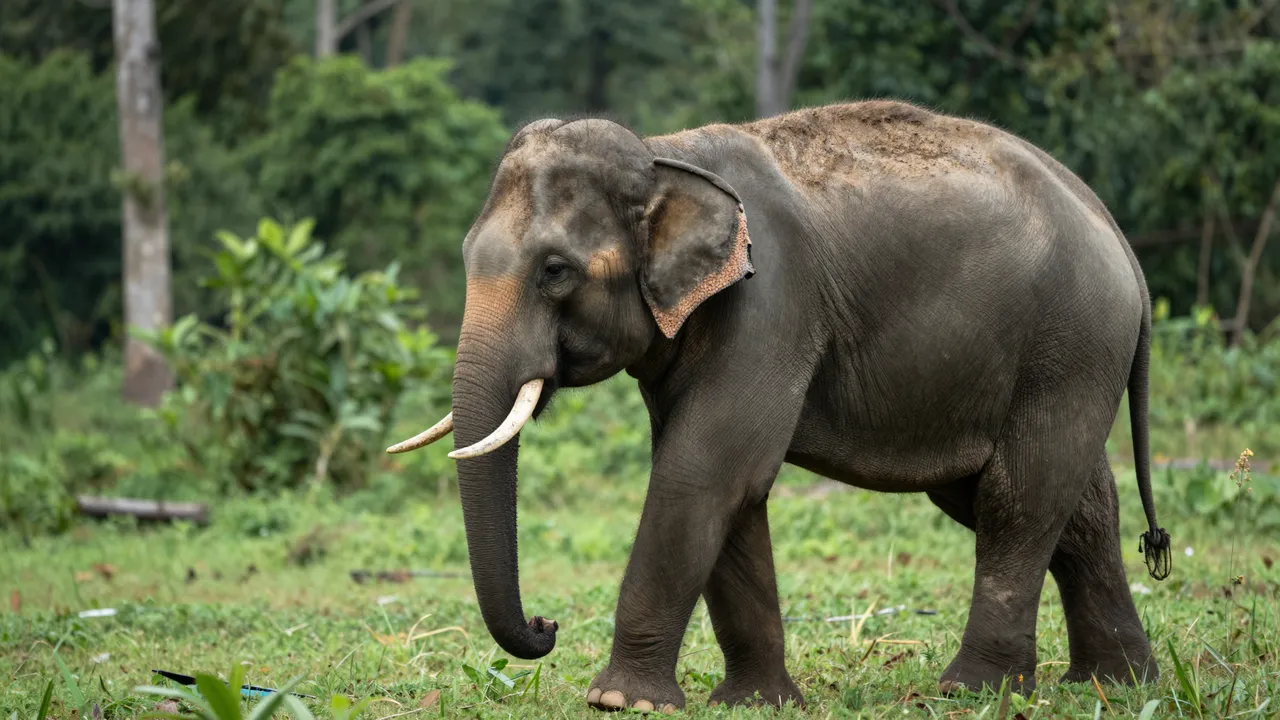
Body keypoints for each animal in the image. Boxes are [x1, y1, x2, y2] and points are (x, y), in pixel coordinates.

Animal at [387, 100, 1173, 712]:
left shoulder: (769, 304)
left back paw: (974, 690)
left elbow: (704, 470)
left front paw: (619, 701)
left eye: (555, 272)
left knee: (1019, 497)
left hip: (1070, 341)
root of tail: (1115, 232)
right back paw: (1115, 684)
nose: (546, 625)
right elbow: (734, 489)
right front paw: (756, 702)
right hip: (1053, 359)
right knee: (1068, 506)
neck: (665, 156)